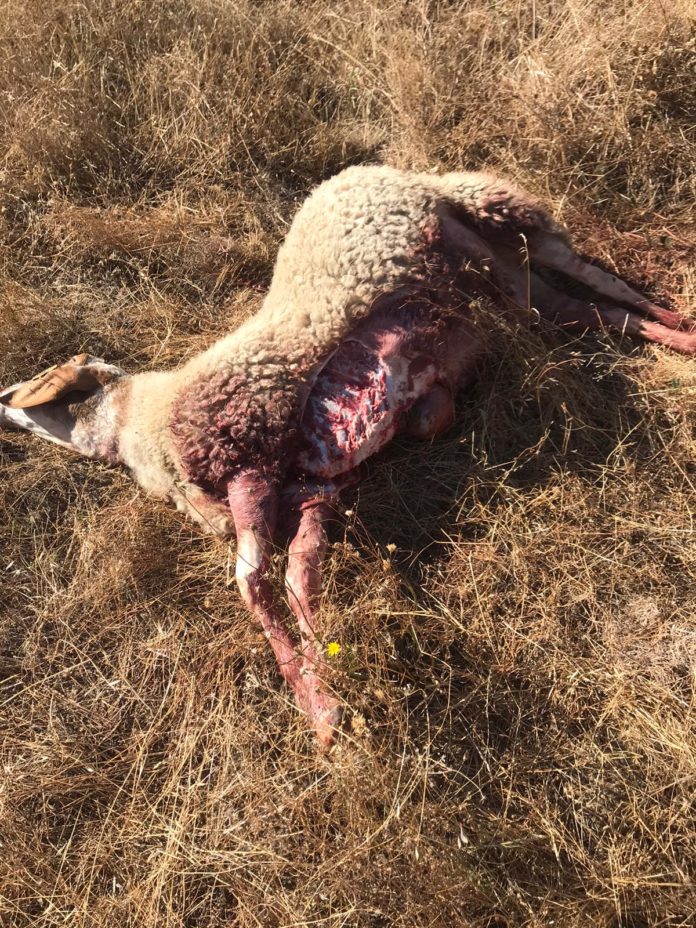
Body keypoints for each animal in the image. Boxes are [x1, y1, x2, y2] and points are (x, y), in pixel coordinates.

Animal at [2, 164, 694, 746]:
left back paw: (680, 326)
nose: (4, 405)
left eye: (23, 388)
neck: (143, 426)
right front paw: (326, 685)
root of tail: (391, 170)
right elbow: (299, 573)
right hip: (496, 273)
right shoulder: (312, 492)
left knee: (587, 278)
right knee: (586, 308)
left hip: (484, 224)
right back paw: (678, 335)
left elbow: (253, 580)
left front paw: (317, 707)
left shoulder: (251, 456)